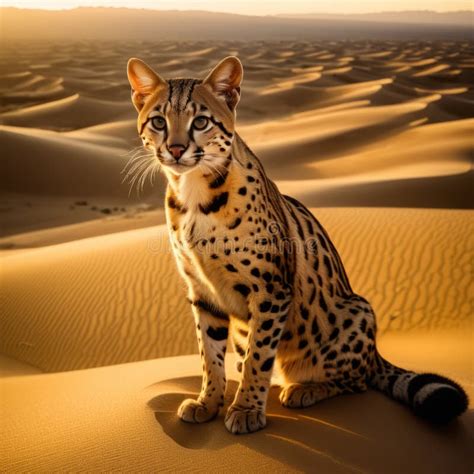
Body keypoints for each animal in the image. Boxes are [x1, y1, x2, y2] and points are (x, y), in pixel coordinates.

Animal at [125, 55, 466, 434]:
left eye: (201, 121)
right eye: (158, 121)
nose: (175, 149)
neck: (195, 195)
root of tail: (375, 353)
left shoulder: (271, 289)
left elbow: (259, 355)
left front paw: (246, 408)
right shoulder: (203, 293)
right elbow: (209, 355)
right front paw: (209, 402)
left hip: (357, 310)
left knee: (357, 381)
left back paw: (303, 389)